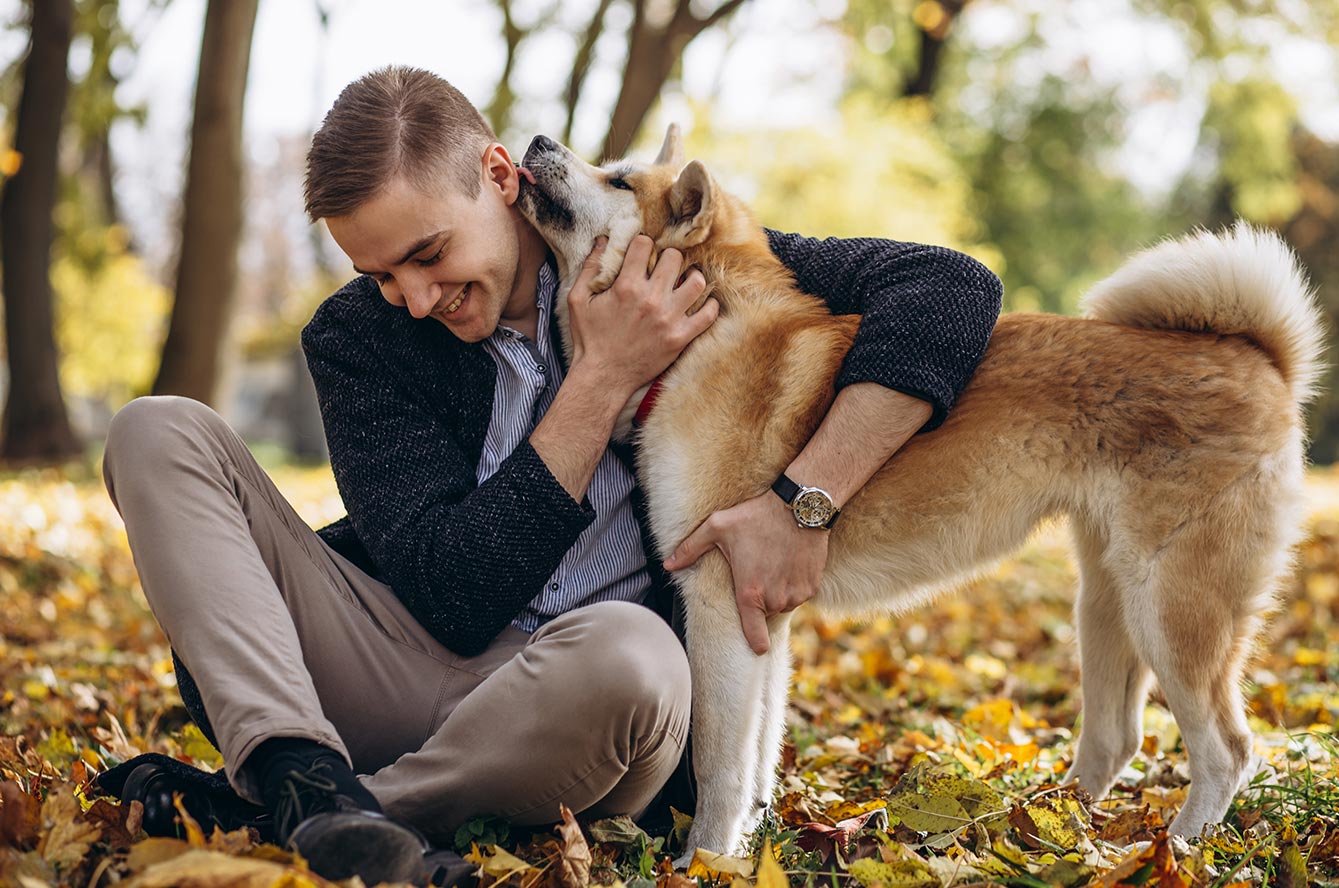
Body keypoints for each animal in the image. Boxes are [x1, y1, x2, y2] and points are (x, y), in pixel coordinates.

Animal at [511, 126, 1328, 862]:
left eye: (619, 180)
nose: (539, 140)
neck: (705, 337)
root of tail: (1260, 360)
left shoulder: (717, 598)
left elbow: (720, 766)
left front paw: (706, 862)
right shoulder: (763, 615)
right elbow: (760, 753)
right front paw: (756, 843)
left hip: (1171, 609)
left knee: (1227, 751)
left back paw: (1177, 851)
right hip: (1106, 599)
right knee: (1115, 738)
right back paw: (1058, 833)